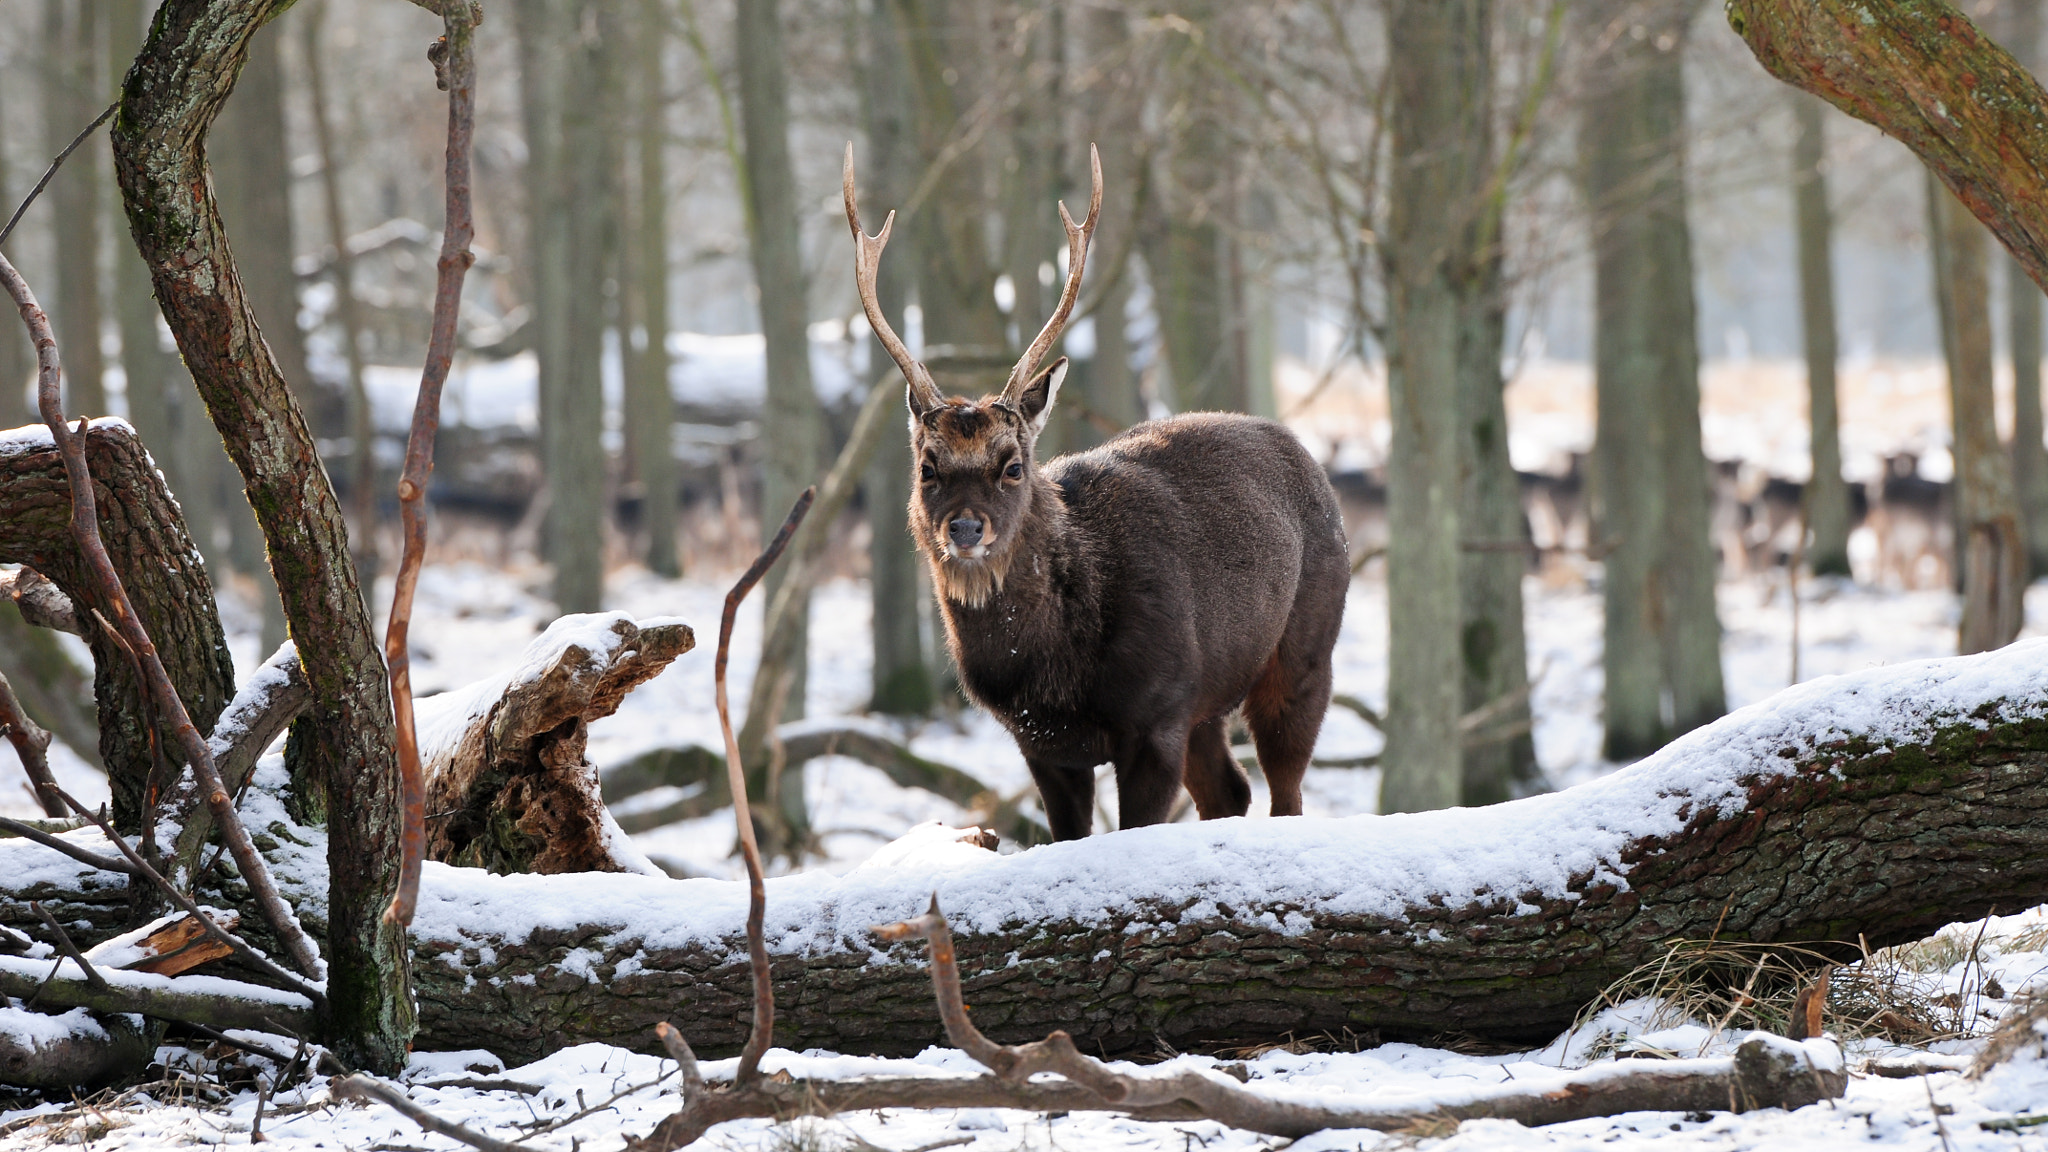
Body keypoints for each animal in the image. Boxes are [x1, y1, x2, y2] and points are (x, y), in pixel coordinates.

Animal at [843, 144, 1349, 841]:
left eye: (1012, 465)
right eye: (928, 467)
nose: (965, 528)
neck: (1053, 672)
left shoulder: (1158, 712)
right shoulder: (1041, 744)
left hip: (1304, 651)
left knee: (1286, 788)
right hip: (1207, 705)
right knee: (1230, 790)